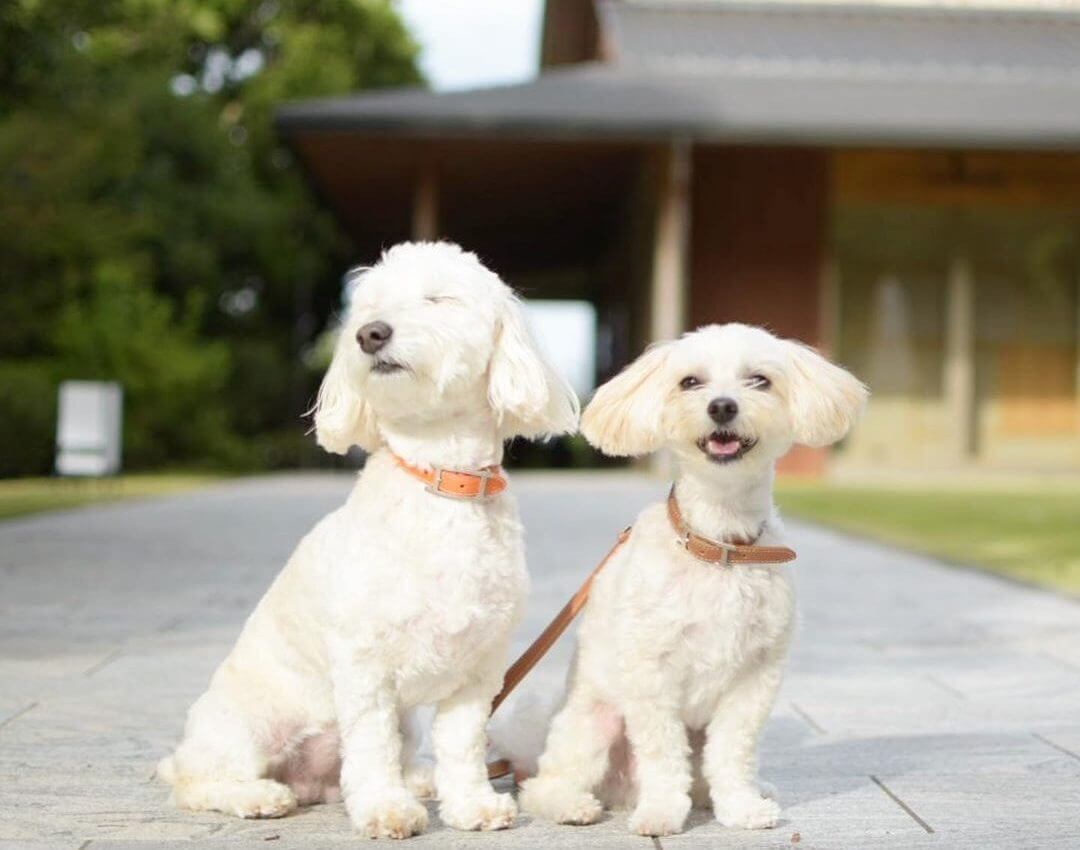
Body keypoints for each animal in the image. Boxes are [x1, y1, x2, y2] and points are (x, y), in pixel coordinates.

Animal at [157, 239, 578, 838]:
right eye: (369, 308)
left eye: (437, 299)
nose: (371, 334)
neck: (440, 482)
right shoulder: (364, 664)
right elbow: (373, 746)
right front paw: (386, 809)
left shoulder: (479, 670)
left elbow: (463, 745)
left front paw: (472, 804)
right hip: (243, 726)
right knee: (198, 781)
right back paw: (258, 795)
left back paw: (414, 782)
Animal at [516, 324, 868, 838]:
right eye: (690, 382)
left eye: (759, 380)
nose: (722, 406)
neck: (719, 542)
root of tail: (620, 792)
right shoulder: (651, 675)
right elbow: (663, 754)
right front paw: (661, 812)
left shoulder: (756, 675)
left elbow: (733, 752)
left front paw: (741, 807)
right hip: (593, 723)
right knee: (544, 784)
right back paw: (573, 804)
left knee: (704, 774)